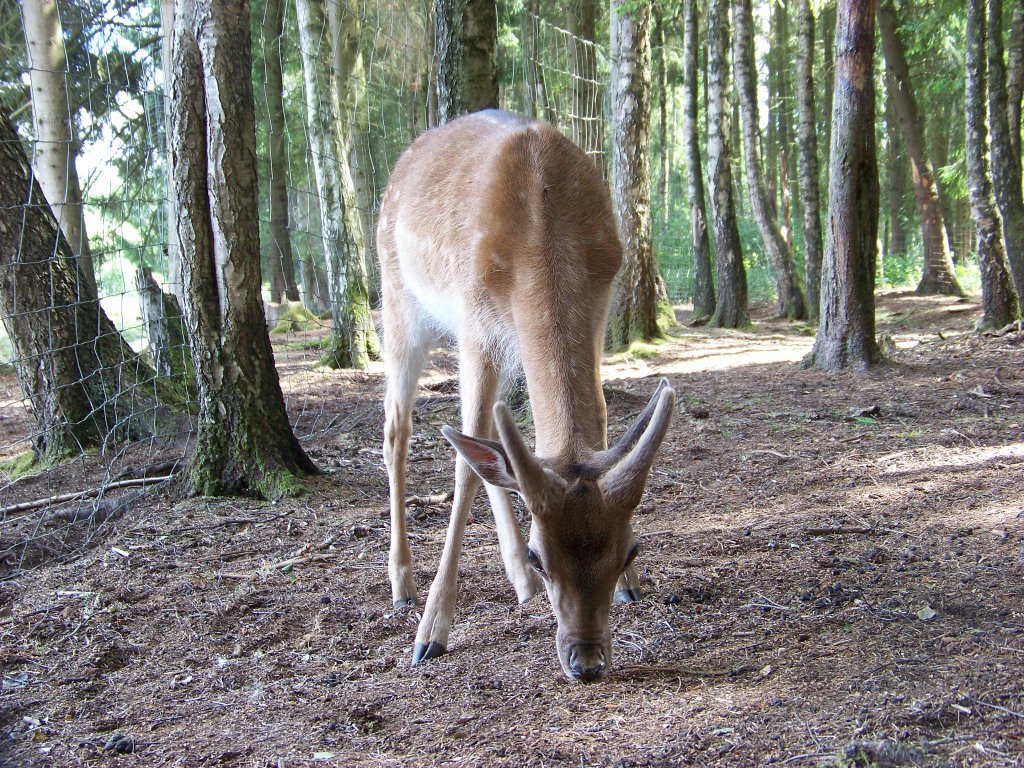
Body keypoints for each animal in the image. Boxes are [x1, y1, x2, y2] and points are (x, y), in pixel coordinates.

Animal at [376, 109, 671, 684]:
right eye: (542, 554)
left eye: (631, 549)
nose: (587, 662)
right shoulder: (474, 321)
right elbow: (464, 463)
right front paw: (432, 632)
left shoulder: (601, 303)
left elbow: (597, 418)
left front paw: (632, 587)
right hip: (398, 299)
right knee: (397, 432)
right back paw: (403, 584)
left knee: (493, 441)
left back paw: (516, 584)